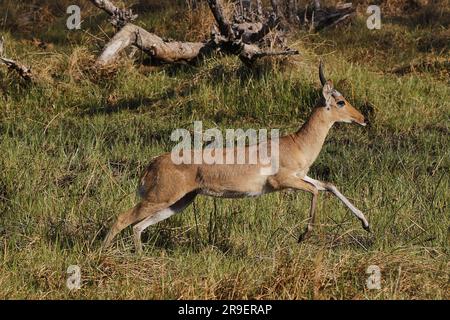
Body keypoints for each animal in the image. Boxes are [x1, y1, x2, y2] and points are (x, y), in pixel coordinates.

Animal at [103, 62, 370, 252]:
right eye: (340, 101)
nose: (363, 118)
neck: (296, 144)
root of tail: (153, 163)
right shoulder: (282, 181)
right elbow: (316, 191)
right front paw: (303, 235)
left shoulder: (301, 176)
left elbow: (329, 185)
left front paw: (366, 223)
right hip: (160, 198)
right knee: (121, 219)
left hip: (178, 202)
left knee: (138, 226)